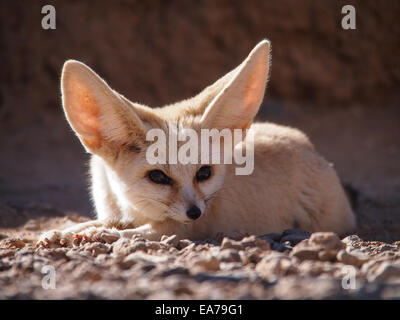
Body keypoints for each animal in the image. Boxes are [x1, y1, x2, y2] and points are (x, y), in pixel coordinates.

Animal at [38, 40, 356, 245]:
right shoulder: (117, 212)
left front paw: (103, 235)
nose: (195, 212)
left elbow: (139, 232)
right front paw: (63, 231)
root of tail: (312, 149)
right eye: (157, 177)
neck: (135, 209)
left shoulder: (187, 228)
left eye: (204, 173)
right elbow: (98, 222)